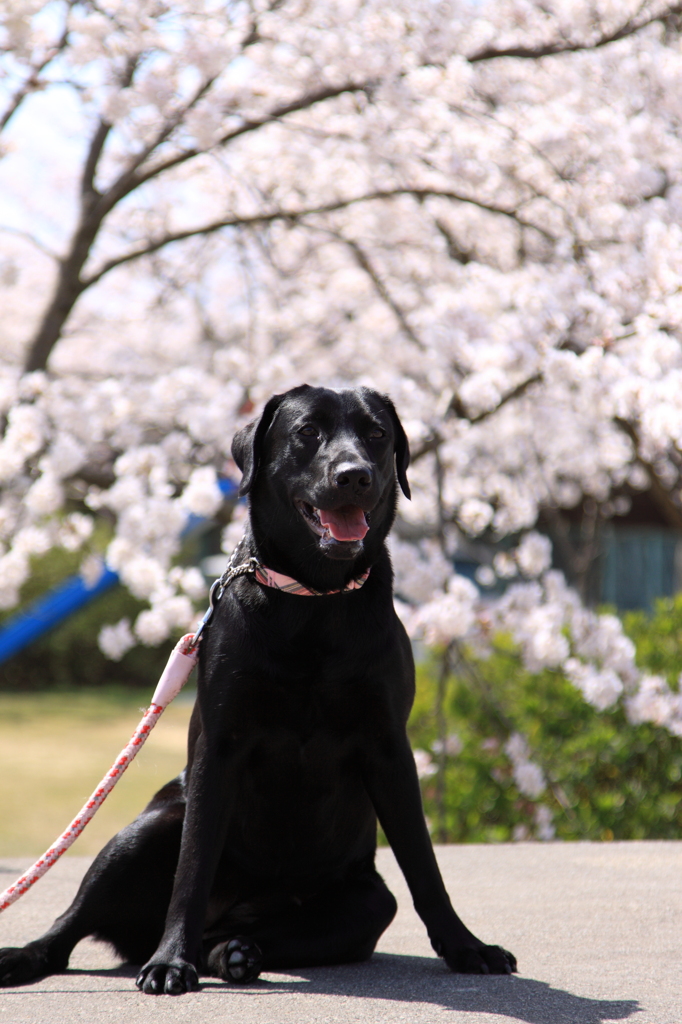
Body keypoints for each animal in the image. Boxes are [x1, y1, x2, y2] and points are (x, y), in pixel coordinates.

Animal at [0, 385, 509, 991]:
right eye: (307, 432)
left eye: (377, 434)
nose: (354, 475)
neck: (315, 599)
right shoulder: (221, 746)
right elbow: (192, 867)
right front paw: (171, 960)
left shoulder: (389, 746)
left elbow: (424, 864)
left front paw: (466, 947)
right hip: (147, 830)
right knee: (69, 925)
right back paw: (43, 956)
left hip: (364, 900)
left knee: (268, 929)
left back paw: (234, 953)